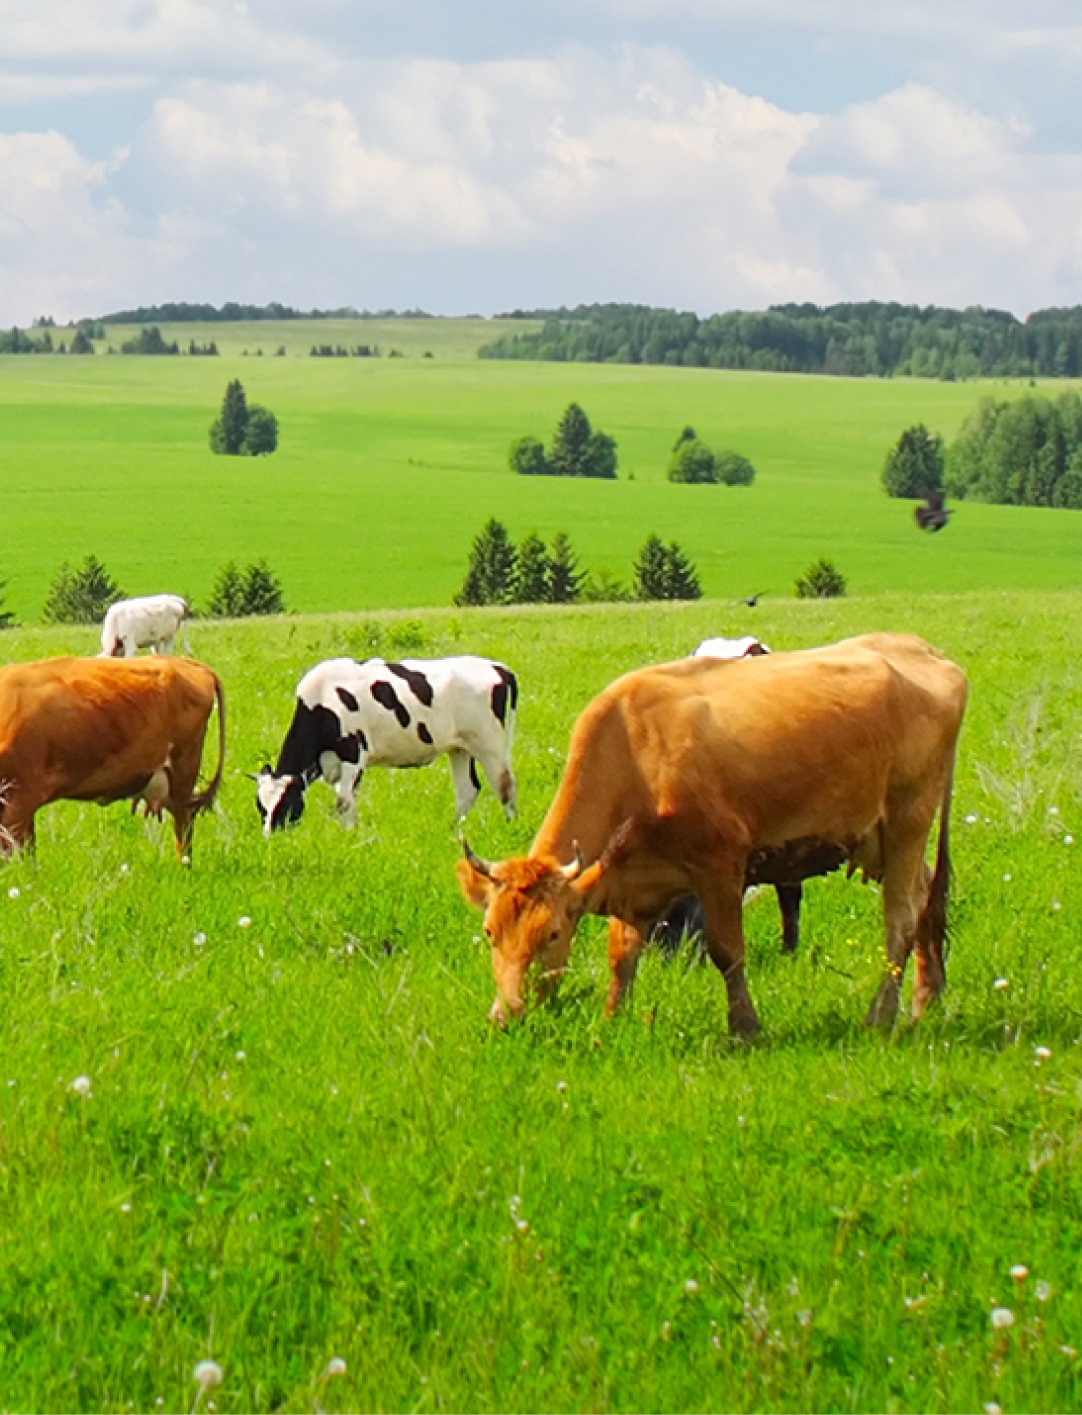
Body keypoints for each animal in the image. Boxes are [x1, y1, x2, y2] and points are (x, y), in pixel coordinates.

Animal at [461, 636, 967, 1035]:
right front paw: (611, 1021)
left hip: (908, 820)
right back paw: (925, 1001)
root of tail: (924, 651)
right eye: (489, 932)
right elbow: (622, 957)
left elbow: (727, 952)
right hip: (874, 838)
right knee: (926, 898)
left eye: (551, 933)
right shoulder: (634, 884)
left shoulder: (721, 866)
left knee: (900, 920)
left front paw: (745, 1028)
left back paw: (880, 1017)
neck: (636, 754)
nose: (506, 1015)